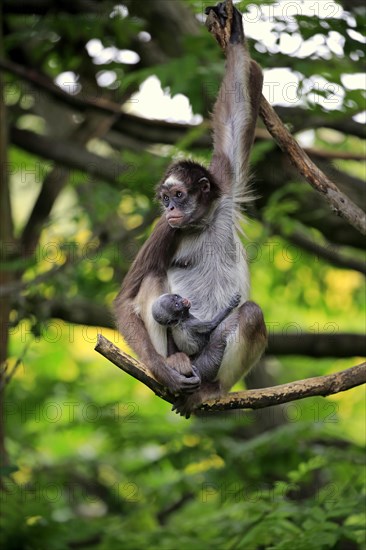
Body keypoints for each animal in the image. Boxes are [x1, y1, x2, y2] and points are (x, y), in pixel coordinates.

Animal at [113, 0, 268, 418]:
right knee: (152, 281)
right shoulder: (164, 230)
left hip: (211, 359)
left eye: (179, 195)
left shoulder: (224, 189)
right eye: (165, 200)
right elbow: (125, 301)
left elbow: (235, 113)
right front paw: (163, 371)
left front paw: (234, 35)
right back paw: (176, 365)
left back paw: (210, 389)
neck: (204, 221)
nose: (170, 209)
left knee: (250, 315)